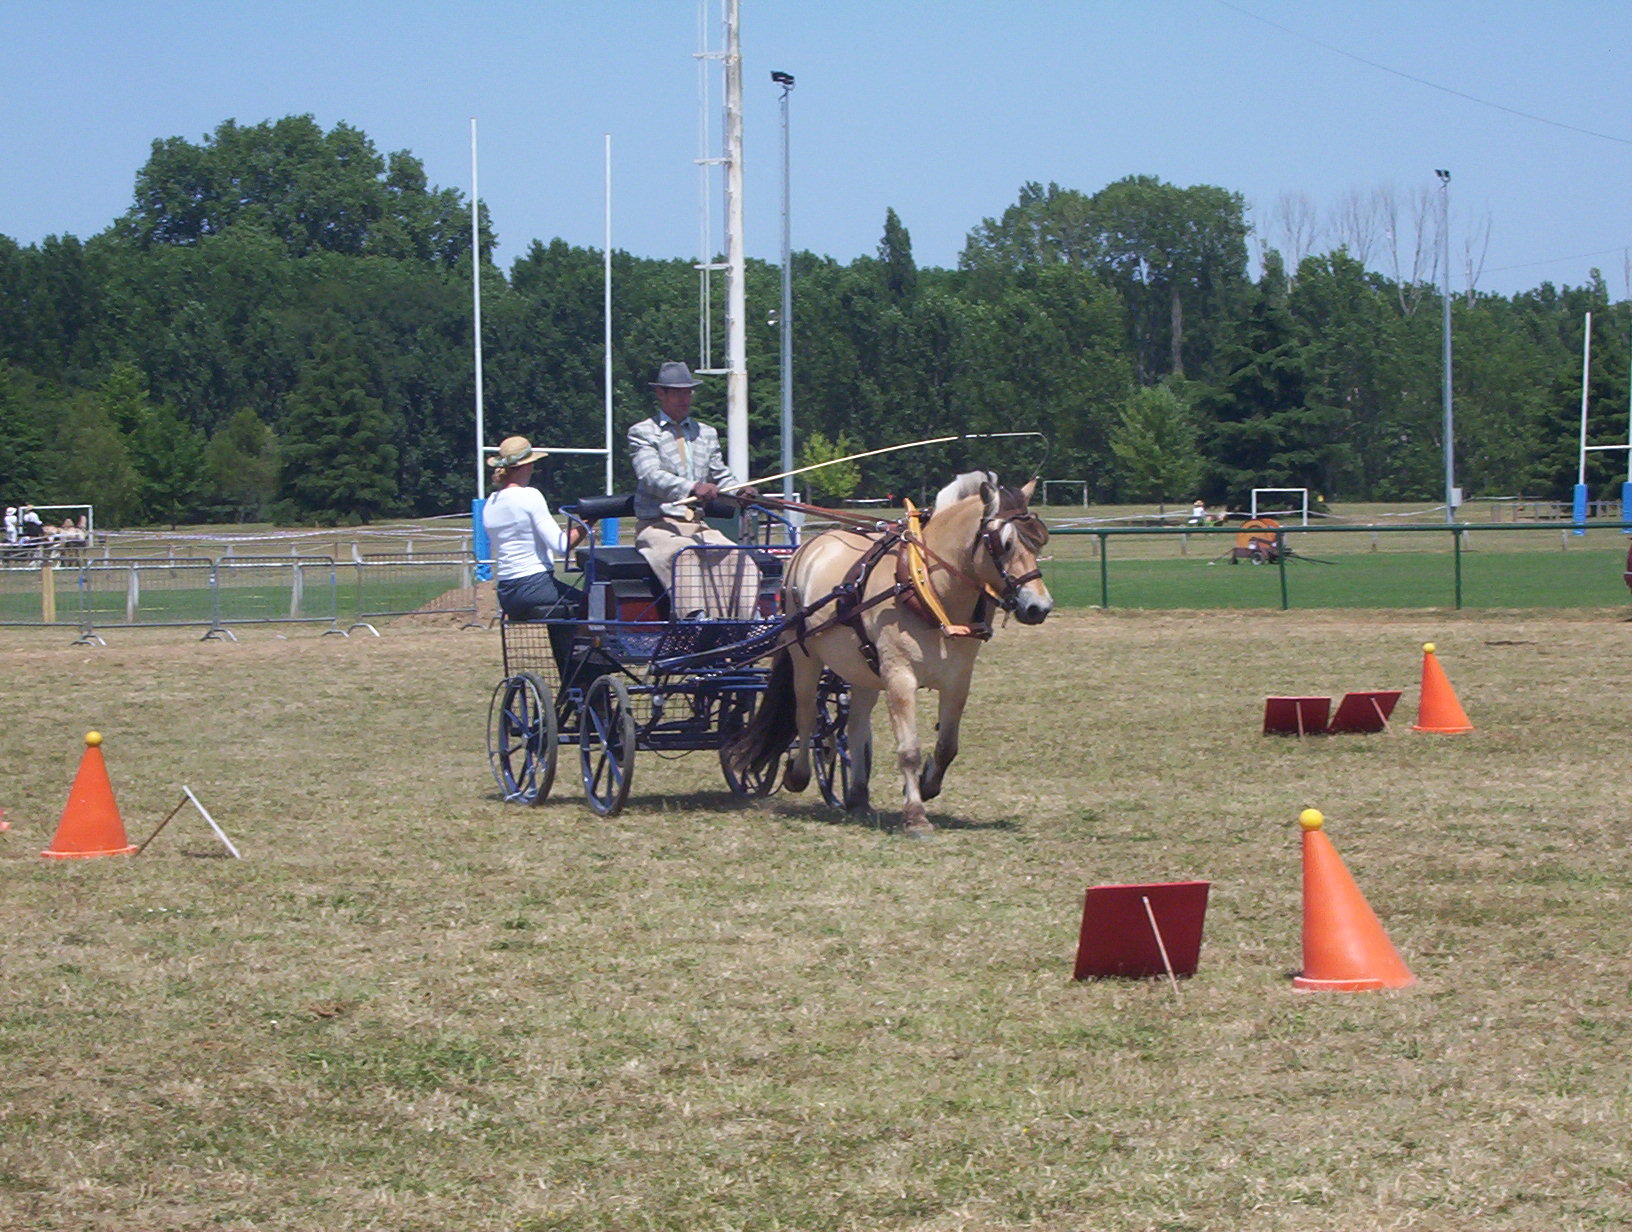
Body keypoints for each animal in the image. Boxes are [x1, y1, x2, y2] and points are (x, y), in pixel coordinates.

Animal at [721, 473, 1051, 835]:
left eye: (1040, 540)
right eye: (1004, 544)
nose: (1039, 607)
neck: (928, 588)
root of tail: (811, 545)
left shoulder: (958, 681)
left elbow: (947, 746)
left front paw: (927, 784)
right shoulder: (899, 678)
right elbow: (908, 749)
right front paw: (916, 815)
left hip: (861, 669)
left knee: (854, 728)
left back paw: (858, 797)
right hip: (803, 655)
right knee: (805, 715)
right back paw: (798, 775)